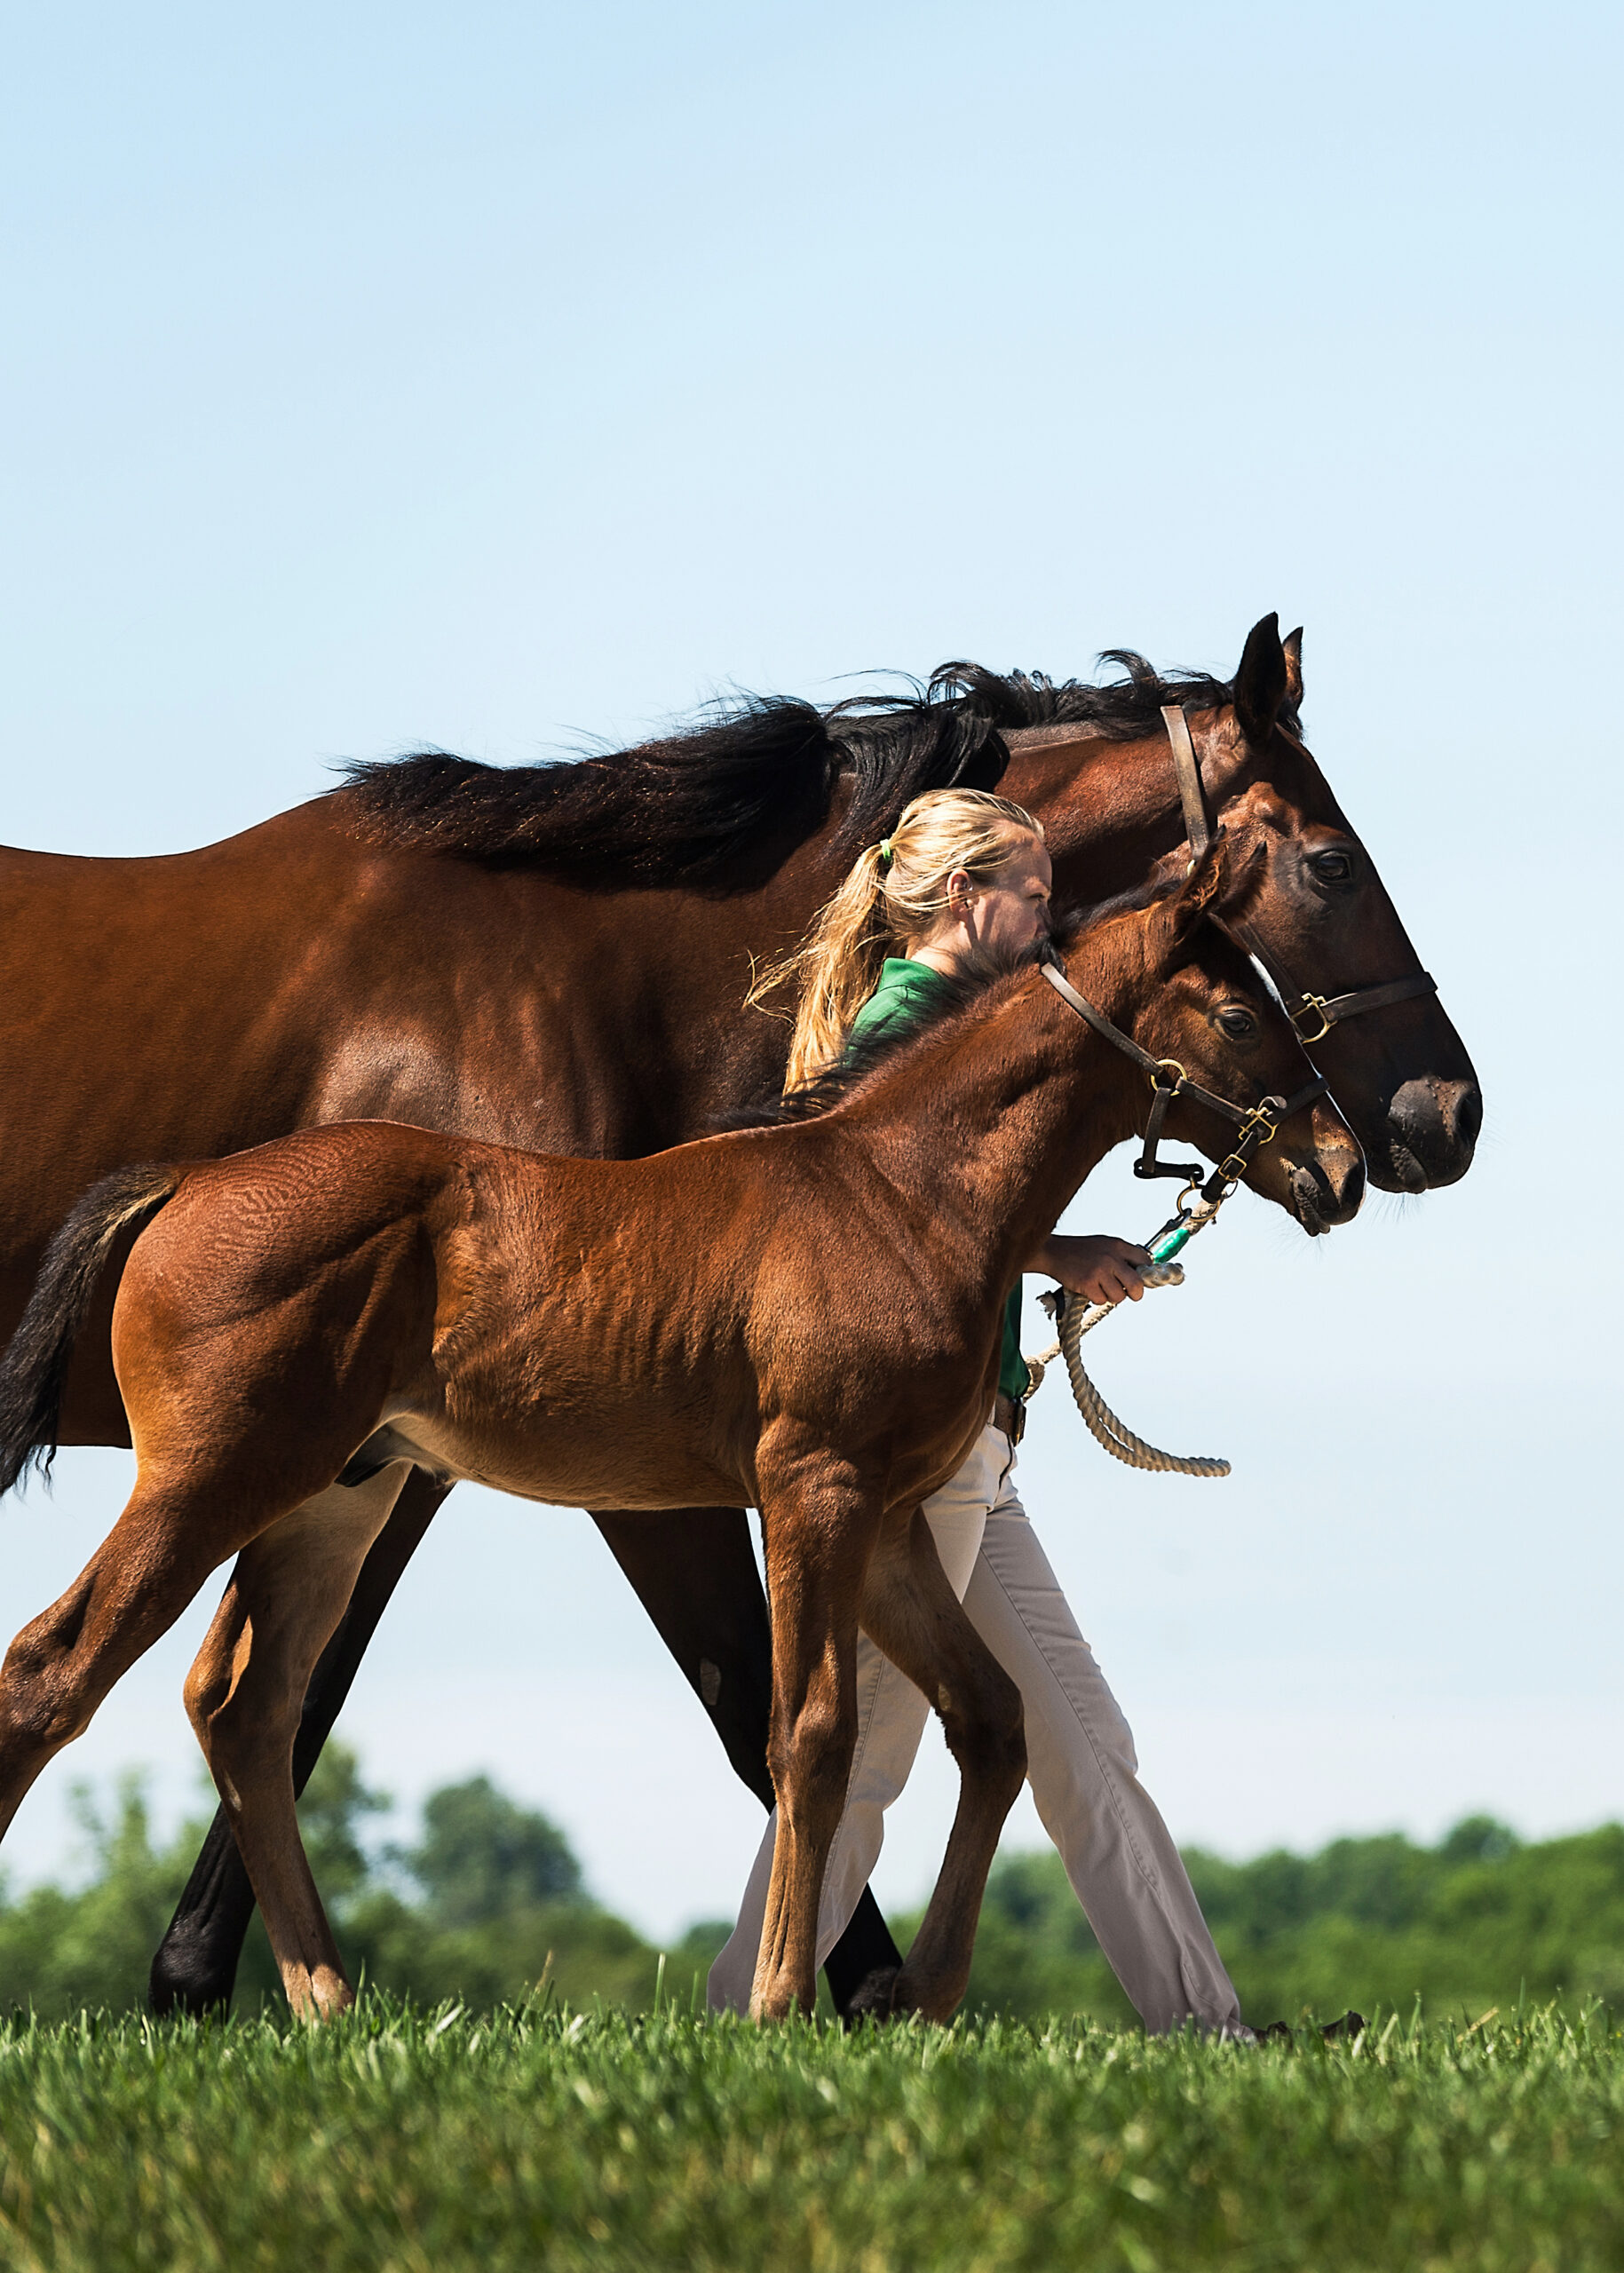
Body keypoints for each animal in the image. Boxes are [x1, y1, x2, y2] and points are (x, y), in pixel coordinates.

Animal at [0, 618, 1473, 2009]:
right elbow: (798, 1730)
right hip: (221, 1475)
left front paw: (916, 1996)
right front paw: (791, 2002)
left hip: (334, 1486)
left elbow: (987, 1720)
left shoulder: (881, 1514)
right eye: (1325, 872)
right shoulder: (790, 1488)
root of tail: (183, 1183)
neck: (888, 1183)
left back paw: (325, 2004)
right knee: (54, 1674)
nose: (1400, 1137)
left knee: (239, 1710)